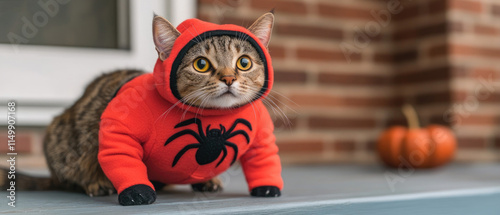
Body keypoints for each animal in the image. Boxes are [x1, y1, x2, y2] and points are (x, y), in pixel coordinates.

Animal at [0, 10, 282, 206]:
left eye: (244, 62)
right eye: (201, 65)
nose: (228, 78)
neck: (214, 117)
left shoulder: (260, 129)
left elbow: (264, 156)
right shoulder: (117, 124)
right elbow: (121, 158)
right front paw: (136, 191)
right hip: (66, 140)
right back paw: (95, 181)